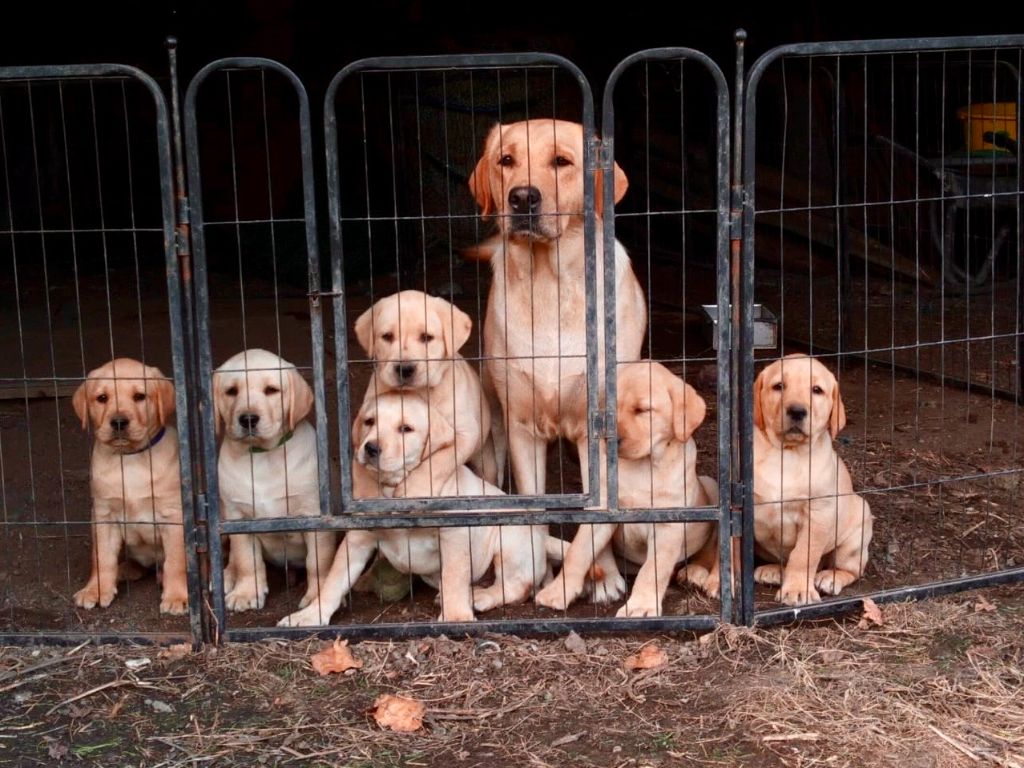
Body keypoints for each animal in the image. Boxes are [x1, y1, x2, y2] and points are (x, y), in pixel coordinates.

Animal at [71, 358, 187, 618]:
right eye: (102, 398)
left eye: (139, 396)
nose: (118, 422)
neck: (130, 458)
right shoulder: (103, 516)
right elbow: (101, 557)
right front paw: (96, 590)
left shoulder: (173, 516)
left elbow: (176, 561)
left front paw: (177, 597)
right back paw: (124, 570)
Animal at [215, 348, 335, 614]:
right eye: (231, 391)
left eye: (271, 390)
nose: (248, 419)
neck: (262, 456)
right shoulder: (238, 517)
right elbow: (246, 559)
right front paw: (247, 592)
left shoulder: (314, 514)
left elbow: (318, 561)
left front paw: (316, 596)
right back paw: (227, 576)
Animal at [276, 391, 557, 626]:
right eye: (369, 422)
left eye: (406, 429)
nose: (370, 448)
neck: (394, 490)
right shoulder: (358, 537)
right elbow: (334, 581)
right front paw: (311, 615)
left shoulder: (453, 533)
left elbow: (454, 575)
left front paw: (455, 616)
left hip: (508, 541)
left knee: (516, 587)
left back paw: (480, 597)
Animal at [468, 118, 643, 614]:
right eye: (506, 160)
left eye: (562, 162)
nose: (522, 198)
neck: (548, 283)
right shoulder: (522, 430)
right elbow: (533, 506)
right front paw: (539, 572)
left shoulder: (595, 431)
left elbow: (596, 513)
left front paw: (599, 579)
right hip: (492, 434)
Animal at [745, 356, 872, 606]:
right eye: (779, 386)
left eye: (817, 390)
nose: (797, 411)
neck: (787, 453)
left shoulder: (818, 513)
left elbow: (803, 555)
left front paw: (797, 590)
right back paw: (773, 570)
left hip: (858, 530)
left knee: (852, 570)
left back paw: (830, 577)